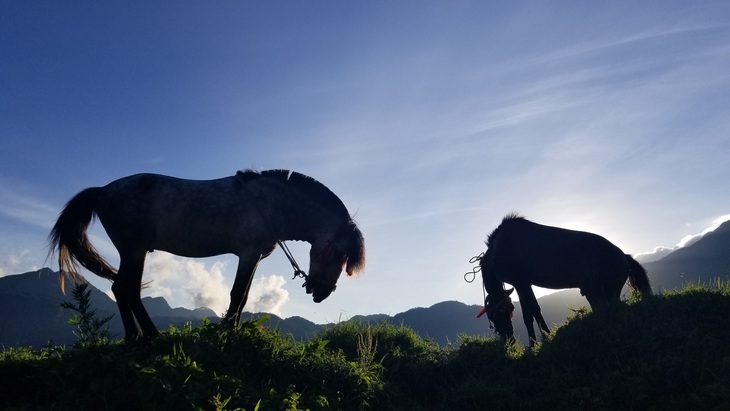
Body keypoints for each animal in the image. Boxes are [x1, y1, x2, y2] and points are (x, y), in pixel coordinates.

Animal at [49, 169, 364, 342]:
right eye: (339, 253)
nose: (322, 293)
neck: (272, 204)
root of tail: (102, 190)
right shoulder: (248, 254)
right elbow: (237, 294)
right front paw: (227, 331)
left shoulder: (254, 257)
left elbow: (244, 296)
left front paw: (232, 329)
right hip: (133, 250)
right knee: (125, 289)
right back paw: (146, 335)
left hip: (133, 252)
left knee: (124, 289)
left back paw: (140, 335)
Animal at [478, 214, 648, 346]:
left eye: (504, 311)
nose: (509, 338)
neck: (497, 248)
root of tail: (624, 256)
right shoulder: (524, 284)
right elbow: (533, 311)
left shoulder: (521, 283)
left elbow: (531, 312)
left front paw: (539, 341)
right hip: (596, 294)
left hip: (608, 292)